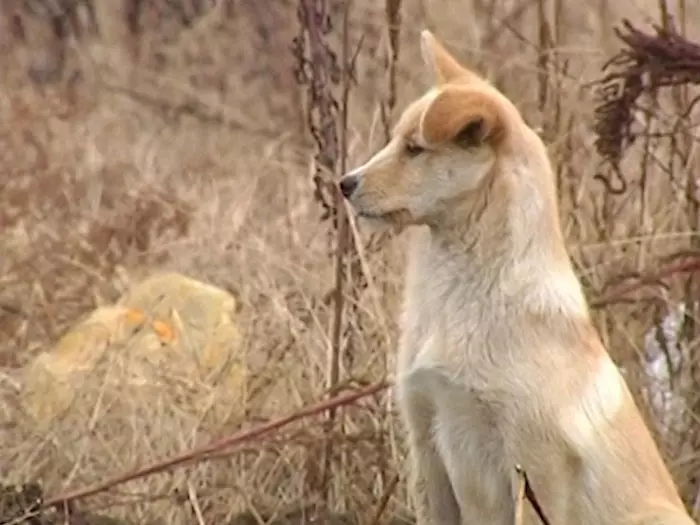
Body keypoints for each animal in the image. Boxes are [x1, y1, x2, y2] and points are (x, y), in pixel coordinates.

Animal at [336, 27, 692, 524]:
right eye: (396, 142)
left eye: (415, 149)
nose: (343, 183)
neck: (460, 294)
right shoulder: (426, 445)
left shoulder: (536, 462)